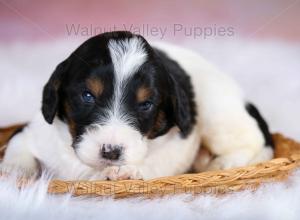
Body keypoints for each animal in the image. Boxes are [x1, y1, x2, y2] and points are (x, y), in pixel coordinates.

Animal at [0, 31, 274, 180]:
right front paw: (13, 170)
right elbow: (17, 146)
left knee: (254, 142)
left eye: (146, 104)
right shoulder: (33, 132)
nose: (111, 152)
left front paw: (127, 171)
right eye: (87, 96)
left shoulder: (173, 148)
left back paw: (223, 163)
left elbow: (152, 163)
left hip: (219, 112)